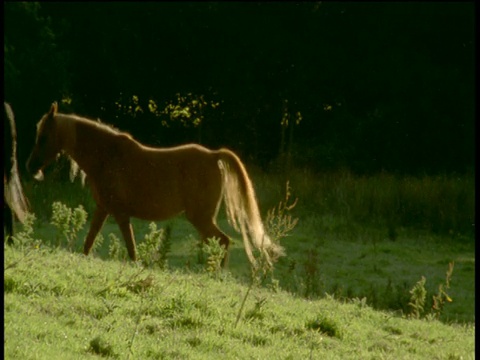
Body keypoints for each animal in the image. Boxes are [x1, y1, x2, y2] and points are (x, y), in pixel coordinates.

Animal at [26, 102, 284, 266]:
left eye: (44, 137)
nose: (30, 166)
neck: (107, 156)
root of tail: (213, 155)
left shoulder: (120, 213)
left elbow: (131, 250)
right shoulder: (103, 210)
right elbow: (89, 244)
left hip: (200, 217)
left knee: (223, 241)